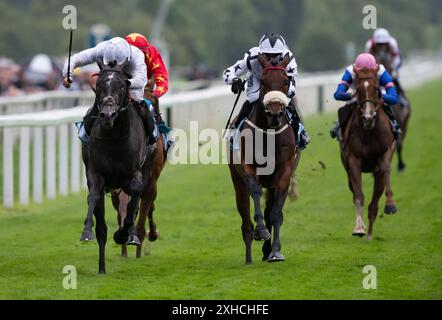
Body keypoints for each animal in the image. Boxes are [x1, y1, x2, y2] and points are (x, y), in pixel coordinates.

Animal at [80, 58, 156, 274]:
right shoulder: (96, 174)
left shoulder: (134, 175)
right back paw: (102, 267)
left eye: (122, 86)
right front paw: (87, 230)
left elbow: (133, 203)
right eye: (98, 85)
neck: (114, 137)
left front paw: (125, 234)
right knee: (102, 226)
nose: (107, 115)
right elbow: (94, 198)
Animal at [228, 53, 300, 262]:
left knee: (270, 210)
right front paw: (260, 231)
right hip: (237, 181)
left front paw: (275, 250)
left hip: (272, 182)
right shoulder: (249, 166)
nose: (275, 113)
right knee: (245, 218)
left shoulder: (284, 171)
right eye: (264, 81)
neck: (269, 133)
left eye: (286, 81)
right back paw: (249, 256)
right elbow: (255, 190)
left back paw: (268, 250)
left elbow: (275, 213)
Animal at [340, 65, 398, 240]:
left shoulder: (385, 152)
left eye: (376, 89)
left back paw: (371, 233)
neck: (369, 132)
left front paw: (391, 204)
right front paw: (359, 228)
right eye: (358, 89)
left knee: (375, 202)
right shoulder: (354, 161)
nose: (368, 117)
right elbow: (358, 196)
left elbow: (385, 167)